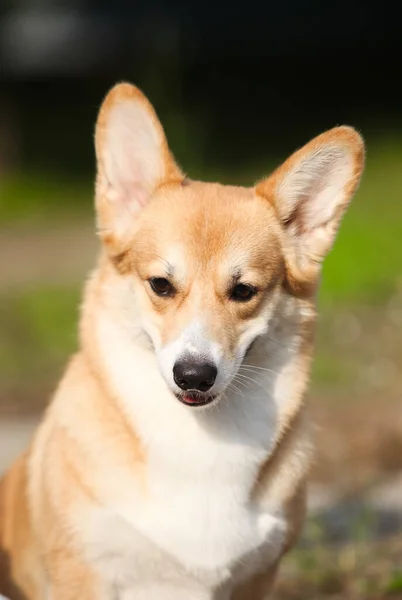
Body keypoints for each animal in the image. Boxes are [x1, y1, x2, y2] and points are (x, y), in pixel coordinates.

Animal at [0, 81, 364, 600]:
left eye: (244, 291)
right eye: (160, 284)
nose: (194, 374)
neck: (199, 440)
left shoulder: (257, 578)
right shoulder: (85, 574)